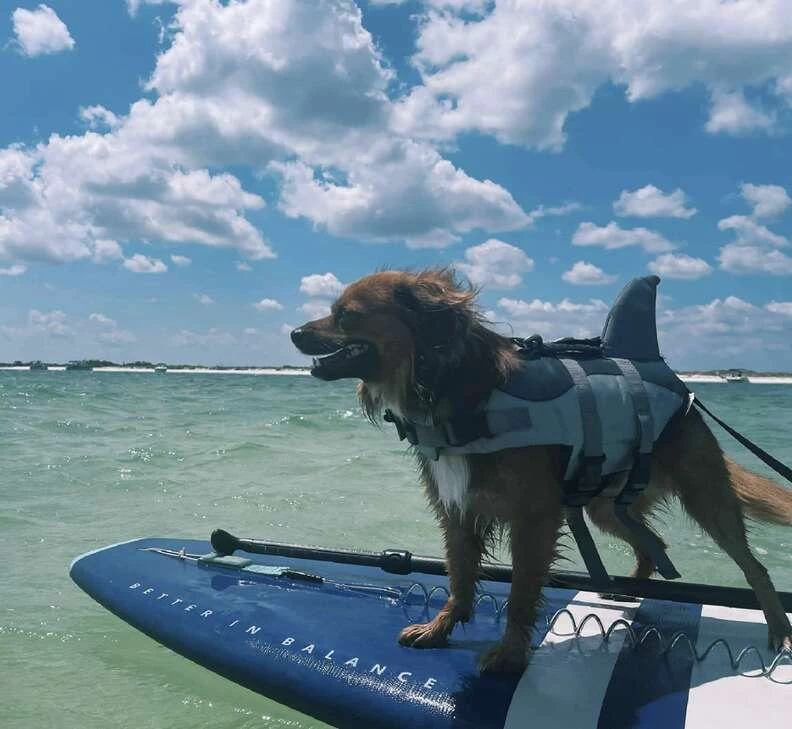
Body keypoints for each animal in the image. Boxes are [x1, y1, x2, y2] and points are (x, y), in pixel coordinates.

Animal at [292, 266, 792, 672]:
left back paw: (778, 632)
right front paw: (440, 629)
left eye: (346, 315)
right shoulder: (457, 510)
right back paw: (626, 590)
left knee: (754, 567)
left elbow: (520, 593)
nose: (295, 333)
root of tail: (682, 390)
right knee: (654, 544)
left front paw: (510, 656)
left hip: (704, 494)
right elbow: (459, 577)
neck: (455, 389)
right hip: (606, 507)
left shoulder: (533, 517)